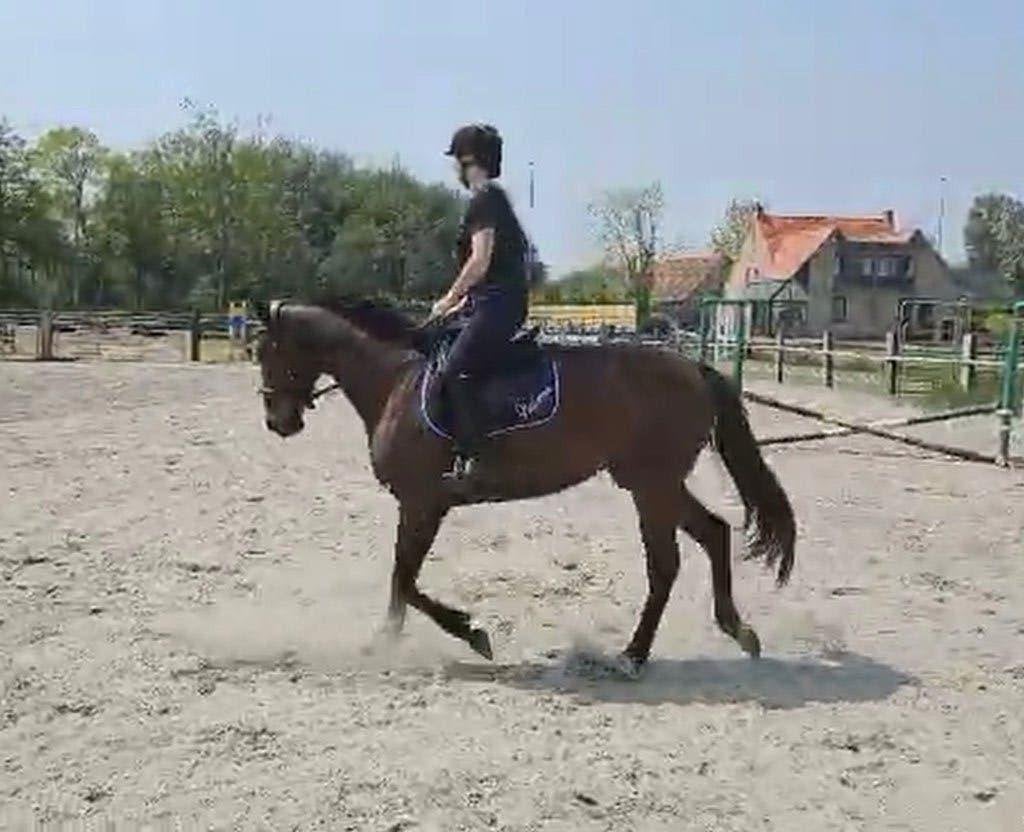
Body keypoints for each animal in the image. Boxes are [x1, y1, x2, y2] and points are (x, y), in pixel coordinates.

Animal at [255, 298, 796, 677]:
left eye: (268, 351)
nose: (278, 421)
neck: (397, 380)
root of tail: (693, 370)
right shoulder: (423, 505)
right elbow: (402, 578)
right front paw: (401, 639)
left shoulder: (422, 502)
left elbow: (404, 578)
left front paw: (466, 633)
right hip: (654, 485)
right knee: (714, 534)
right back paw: (738, 632)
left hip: (652, 487)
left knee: (666, 566)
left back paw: (633, 656)